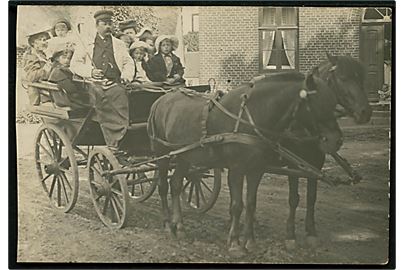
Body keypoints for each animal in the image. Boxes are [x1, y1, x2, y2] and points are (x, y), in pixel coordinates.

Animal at [147, 69, 342, 258]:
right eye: (319, 104)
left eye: (333, 104)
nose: (337, 141)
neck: (252, 117)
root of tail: (160, 100)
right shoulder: (237, 169)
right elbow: (237, 205)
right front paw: (235, 244)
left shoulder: (256, 169)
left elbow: (250, 204)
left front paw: (250, 242)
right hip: (162, 154)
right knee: (163, 187)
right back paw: (168, 225)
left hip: (184, 157)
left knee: (176, 184)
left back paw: (179, 227)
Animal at [282, 53, 370, 250]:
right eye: (343, 78)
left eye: (361, 79)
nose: (366, 113)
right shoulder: (293, 165)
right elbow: (293, 198)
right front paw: (290, 235)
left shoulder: (316, 163)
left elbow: (311, 197)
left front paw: (311, 233)